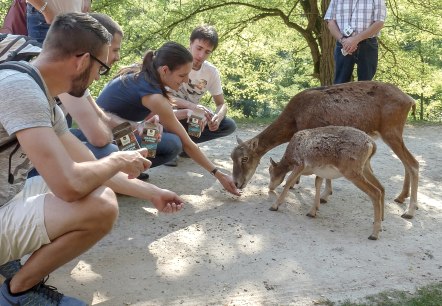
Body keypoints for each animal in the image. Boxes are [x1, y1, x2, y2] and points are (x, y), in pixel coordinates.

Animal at [231, 81, 418, 219]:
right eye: (231, 157)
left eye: (245, 158)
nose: (237, 183)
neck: (294, 120)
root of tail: (410, 100)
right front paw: (324, 194)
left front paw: (318, 194)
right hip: (395, 132)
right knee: (407, 162)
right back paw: (401, 197)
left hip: (391, 131)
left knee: (413, 163)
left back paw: (409, 211)